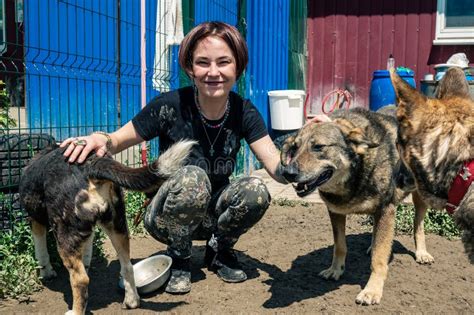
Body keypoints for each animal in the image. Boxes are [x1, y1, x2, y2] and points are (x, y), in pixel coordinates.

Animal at [19, 141, 195, 315]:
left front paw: (46, 273)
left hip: (65, 233)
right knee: (127, 266)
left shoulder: (35, 221)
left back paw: (75, 311)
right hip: (117, 226)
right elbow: (87, 253)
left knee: (81, 279)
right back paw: (131, 301)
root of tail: (90, 163)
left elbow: (41, 252)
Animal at [282, 107, 422, 304]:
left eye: (318, 147)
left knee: (418, 223)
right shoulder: (335, 211)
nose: (287, 173)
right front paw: (335, 270)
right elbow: (340, 246)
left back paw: (422, 252)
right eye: (294, 148)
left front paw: (372, 290)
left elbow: (379, 257)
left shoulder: (386, 209)